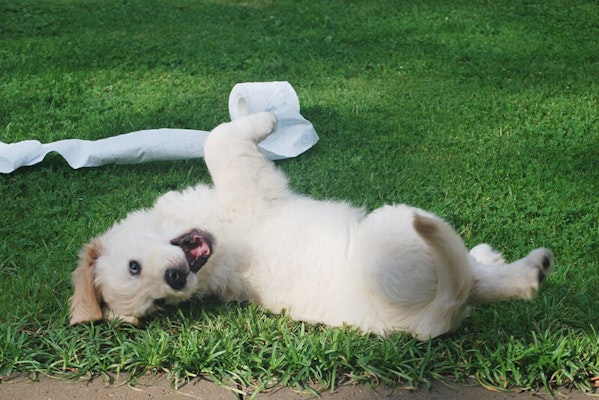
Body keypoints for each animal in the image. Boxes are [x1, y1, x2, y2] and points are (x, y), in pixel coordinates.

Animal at [71, 112, 556, 340]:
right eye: (158, 302)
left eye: (134, 267)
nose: (175, 281)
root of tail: (430, 319)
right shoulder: (247, 181)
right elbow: (219, 139)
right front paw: (267, 120)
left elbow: (218, 136)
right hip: (398, 230)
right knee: (475, 280)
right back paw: (530, 270)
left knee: (475, 276)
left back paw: (491, 255)